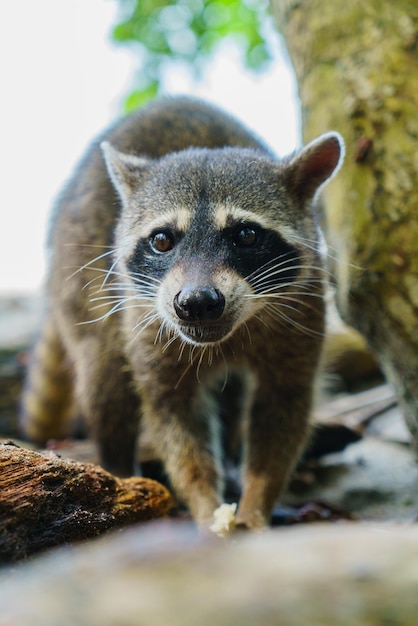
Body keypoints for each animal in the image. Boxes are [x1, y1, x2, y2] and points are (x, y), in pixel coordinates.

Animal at [20, 96, 342, 528]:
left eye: (246, 235)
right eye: (161, 240)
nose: (196, 302)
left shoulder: (303, 310)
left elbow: (282, 411)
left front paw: (256, 504)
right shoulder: (148, 323)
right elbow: (175, 420)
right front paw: (205, 507)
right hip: (82, 284)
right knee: (105, 379)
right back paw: (119, 476)